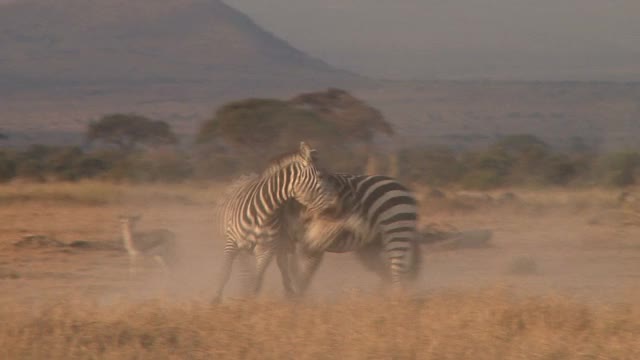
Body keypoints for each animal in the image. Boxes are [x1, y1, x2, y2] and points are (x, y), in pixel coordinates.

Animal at [212, 142, 338, 302]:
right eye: (321, 177)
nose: (337, 207)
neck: (263, 213)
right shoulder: (232, 242)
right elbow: (225, 271)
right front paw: (215, 301)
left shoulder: (266, 249)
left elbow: (258, 279)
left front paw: (250, 301)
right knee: (244, 270)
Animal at [282, 174, 422, 296]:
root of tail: (403, 187)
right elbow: (293, 270)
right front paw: (293, 297)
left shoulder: (315, 242)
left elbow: (304, 274)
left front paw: (298, 300)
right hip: (371, 247)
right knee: (386, 272)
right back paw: (381, 296)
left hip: (396, 230)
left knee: (396, 272)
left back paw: (395, 299)